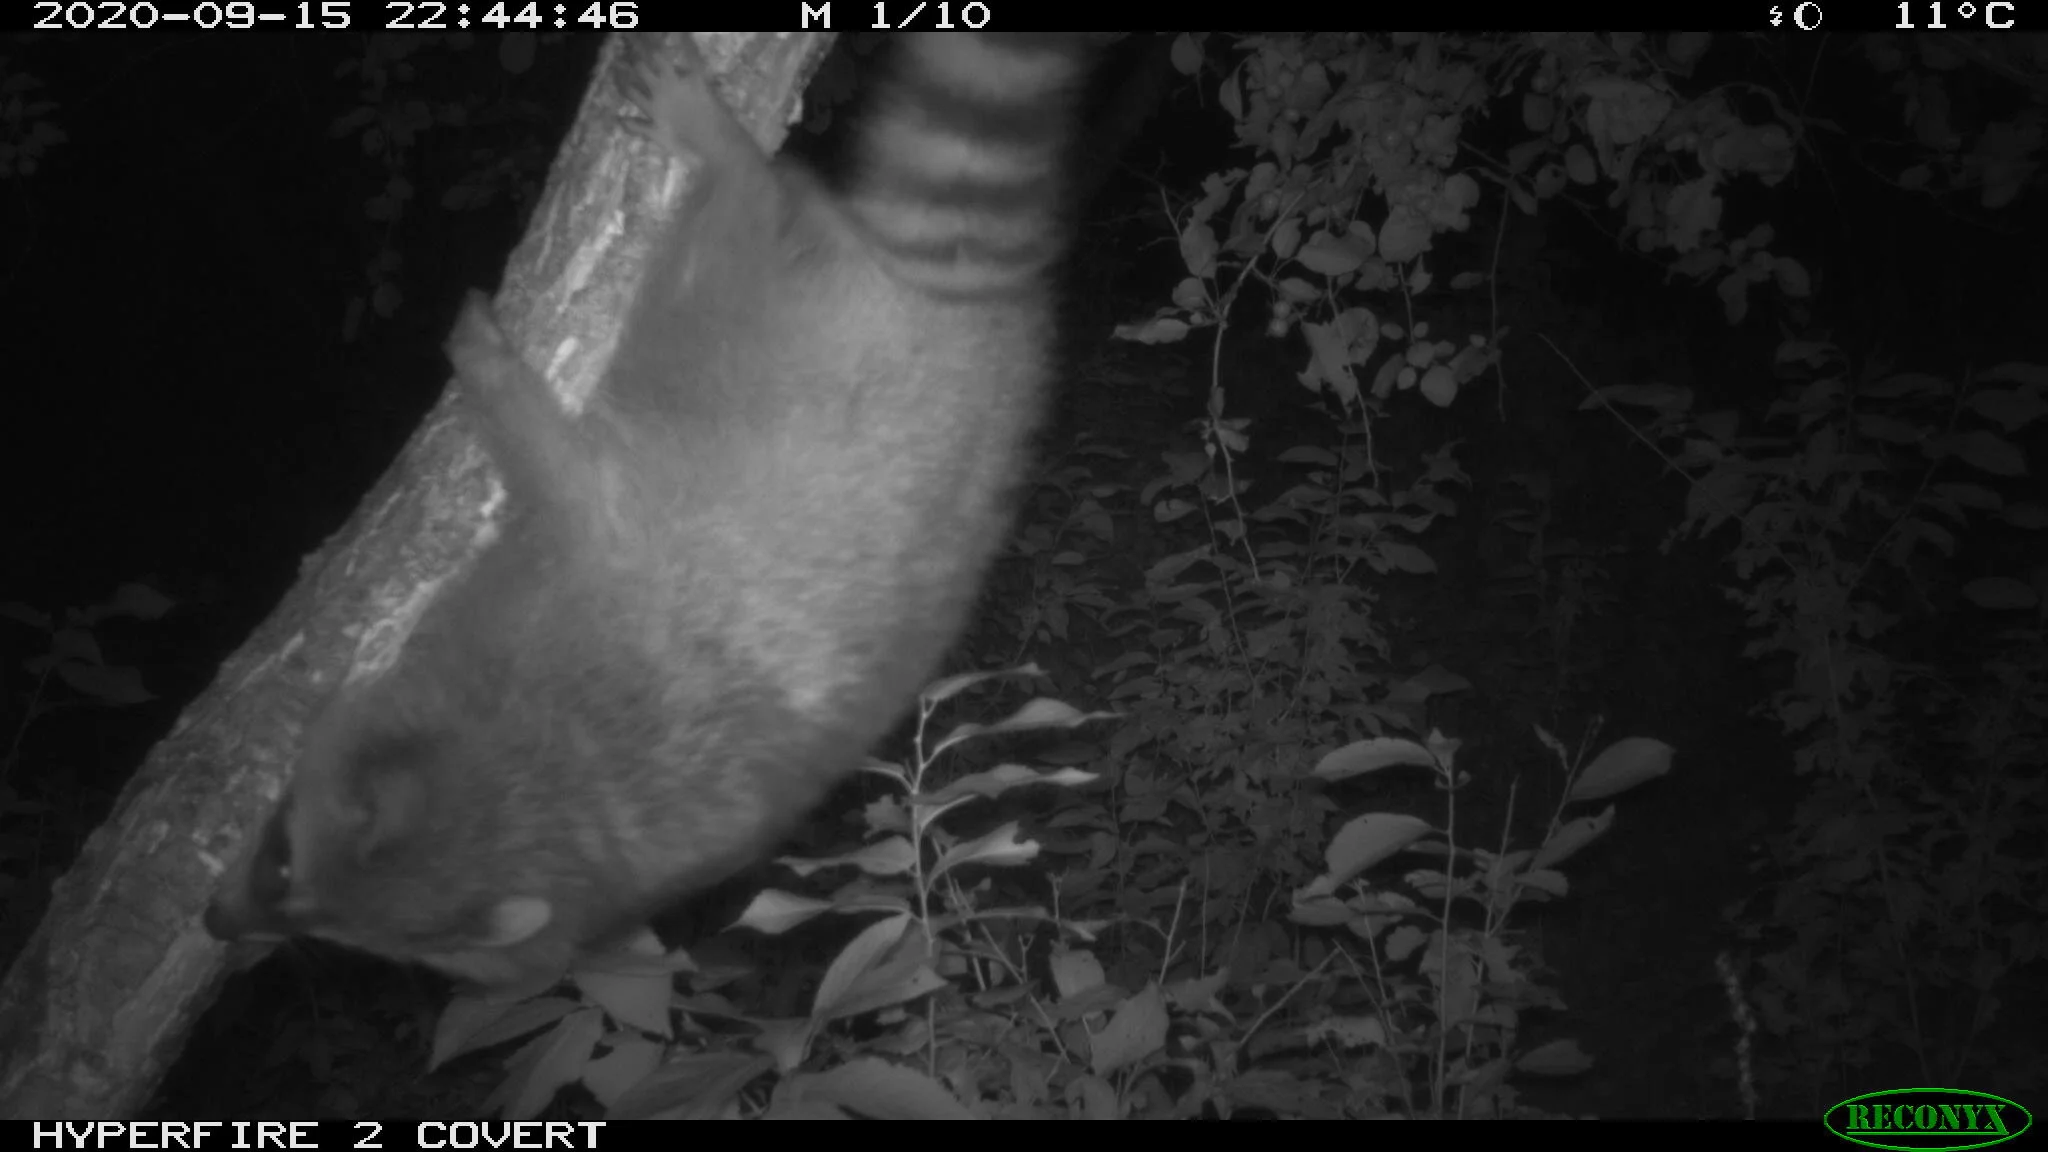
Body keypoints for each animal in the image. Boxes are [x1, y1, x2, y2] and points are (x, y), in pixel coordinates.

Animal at [204, 32, 1083, 988]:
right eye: (312, 917)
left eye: (282, 868)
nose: (217, 926)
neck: (527, 788)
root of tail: (974, 317)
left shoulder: (580, 562)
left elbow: (551, 467)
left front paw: (488, 370)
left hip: (775, 324)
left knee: (755, 218)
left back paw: (729, 155)